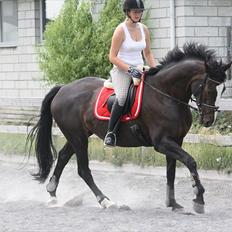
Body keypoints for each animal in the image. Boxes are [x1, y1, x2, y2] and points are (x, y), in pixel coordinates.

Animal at [28, 42, 231, 214]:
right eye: (209, 88)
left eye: (222, 89)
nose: (208, 120)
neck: (166, 95)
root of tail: (63, 89)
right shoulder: (162, 143)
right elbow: (190, 161)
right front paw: (198, 199)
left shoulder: (175, 141)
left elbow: (171, 172)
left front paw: (173, 203)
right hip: (78, 137)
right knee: (83, 169)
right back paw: (106, 201)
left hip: (78, 135)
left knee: (62, 157)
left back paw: (53, 195)